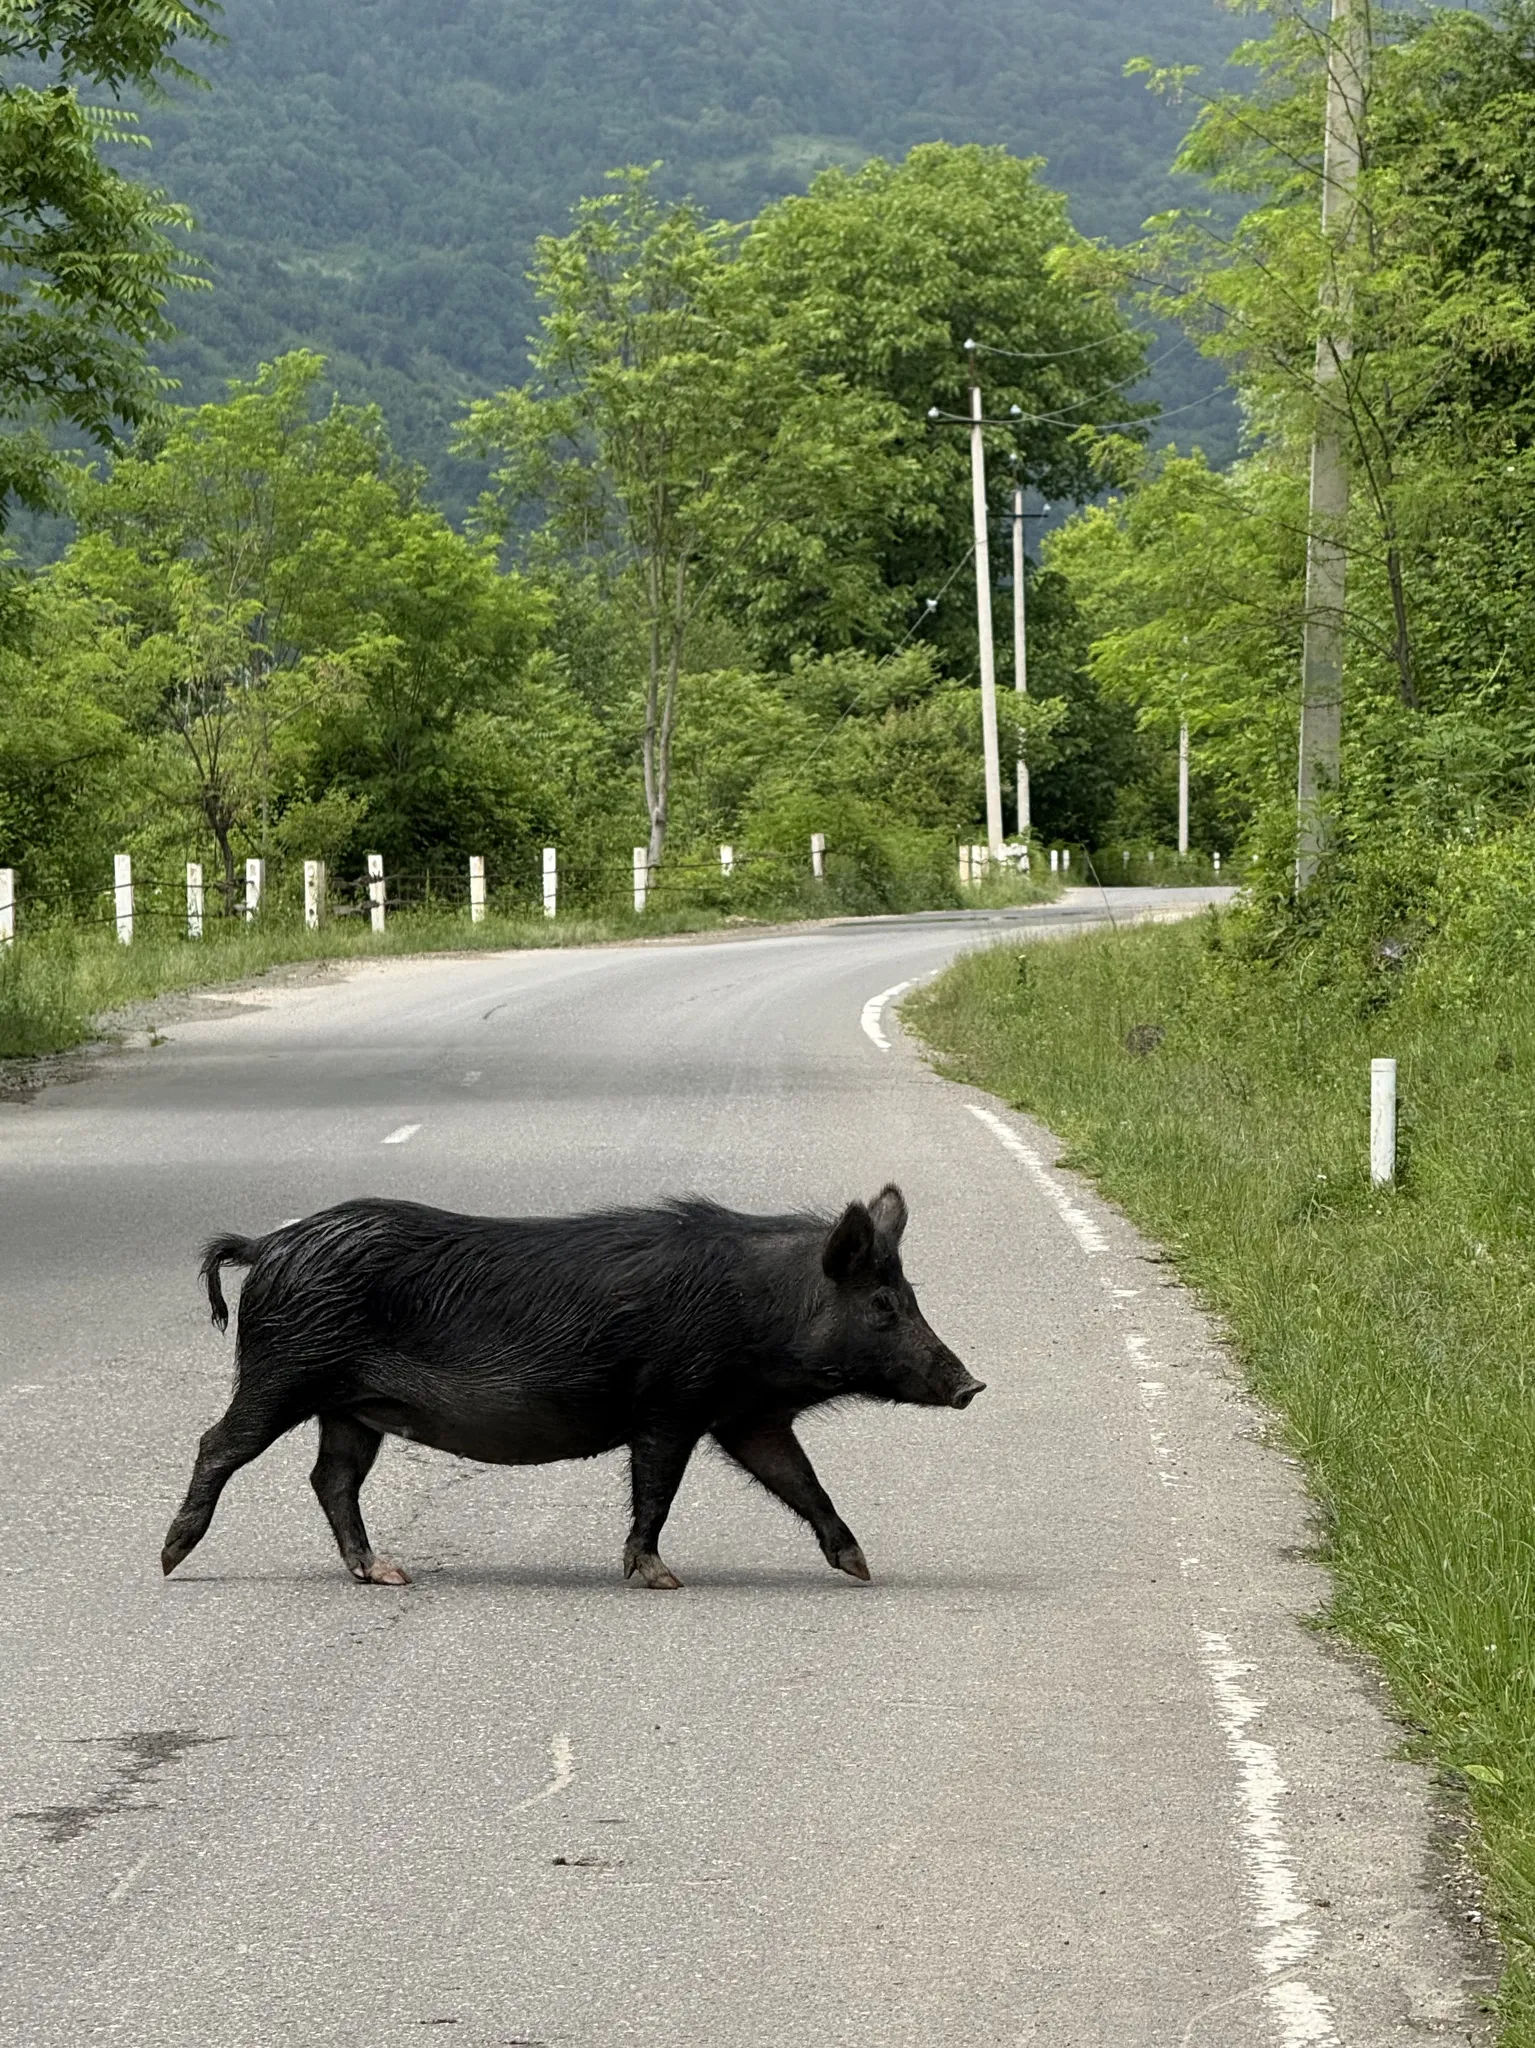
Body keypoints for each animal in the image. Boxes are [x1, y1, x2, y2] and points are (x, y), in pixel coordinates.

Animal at [161, 1183, 984, 1590]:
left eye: (907, 1293)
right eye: (883, 1304)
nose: (972, 1384)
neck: (764, 1309)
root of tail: (269, 1243)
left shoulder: (745, 1418)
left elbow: (802, 1481)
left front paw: (862, 1570)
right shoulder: (670, 1403)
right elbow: (656, 1488)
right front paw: (660, 1579)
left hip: (350, 1407)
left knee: (331, 1478)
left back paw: (387, 1575)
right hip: (284, 1371)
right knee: (219, 1443)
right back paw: (171, 1559)